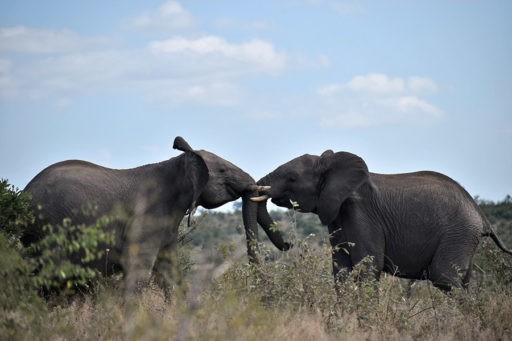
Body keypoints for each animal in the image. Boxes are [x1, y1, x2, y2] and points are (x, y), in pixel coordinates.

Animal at [22, 135, 290, 294]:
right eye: (223, 170)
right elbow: (139, 273)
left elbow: (170, 275)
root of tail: (25, 192)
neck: (179, 162)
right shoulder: (146, 219)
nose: (288, 245)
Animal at [253, 149, 512, 290]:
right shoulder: (337, 214)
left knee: (444, 278)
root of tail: (481, 215)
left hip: (458, 233)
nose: (288, 245)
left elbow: (367, 266)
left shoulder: (362, 213)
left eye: (292, 178)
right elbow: (341, 269)